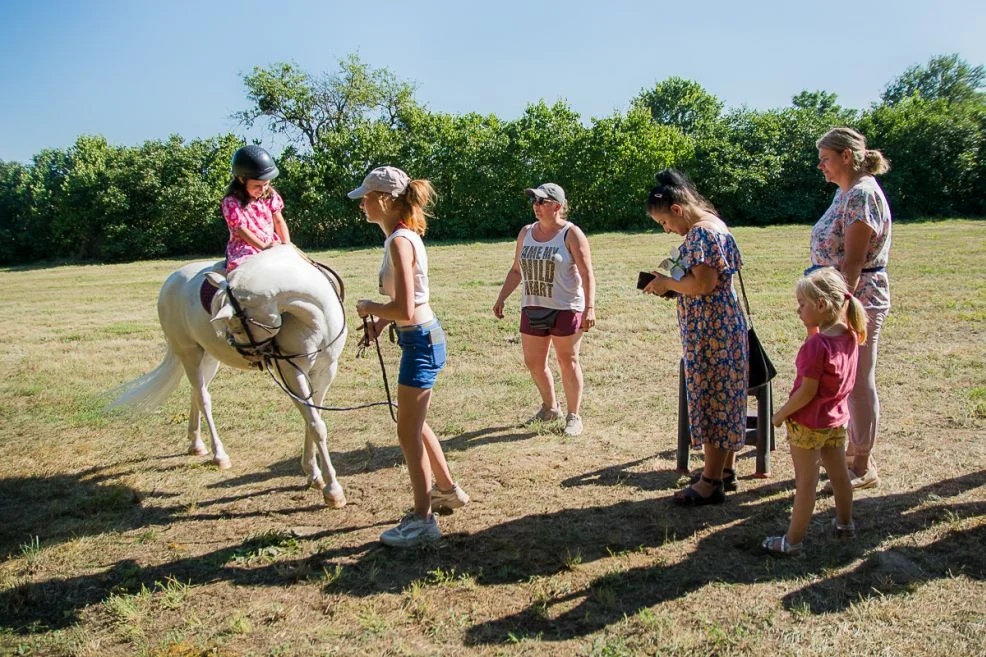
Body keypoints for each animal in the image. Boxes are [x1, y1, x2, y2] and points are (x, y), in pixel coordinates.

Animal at [111, 246, 348, 508]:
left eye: (236, 325)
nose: (240, 347)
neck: (316, 318)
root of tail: (172, 279)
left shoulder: (325, 371)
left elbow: (313, 418)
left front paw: (313, 473)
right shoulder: (291, 373)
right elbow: (315, 425)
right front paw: (332, 490)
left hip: (208, 357)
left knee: (196, 393)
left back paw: (196, 444)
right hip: (189, 353)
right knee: (204, 398)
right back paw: (219, 455)